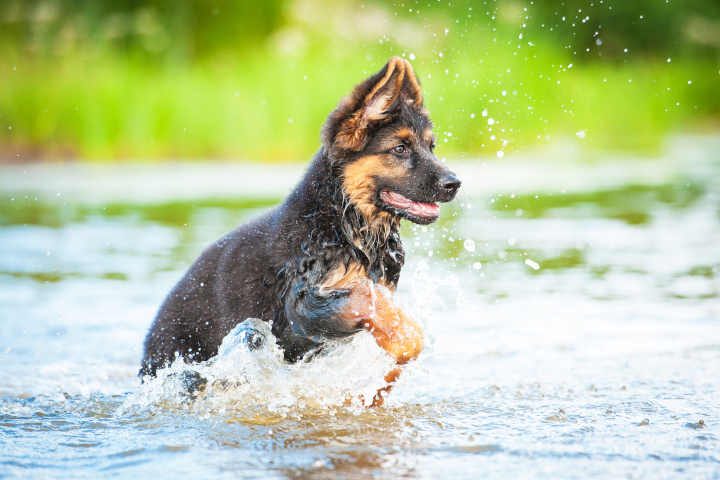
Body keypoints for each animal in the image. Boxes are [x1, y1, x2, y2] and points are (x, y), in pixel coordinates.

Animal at [141, 56, 462, 404]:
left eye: (431, 147)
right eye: (400, 149)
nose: (455, 184)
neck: (340, 220)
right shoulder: (301, 306)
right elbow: (367, 297)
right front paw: (403, 341)